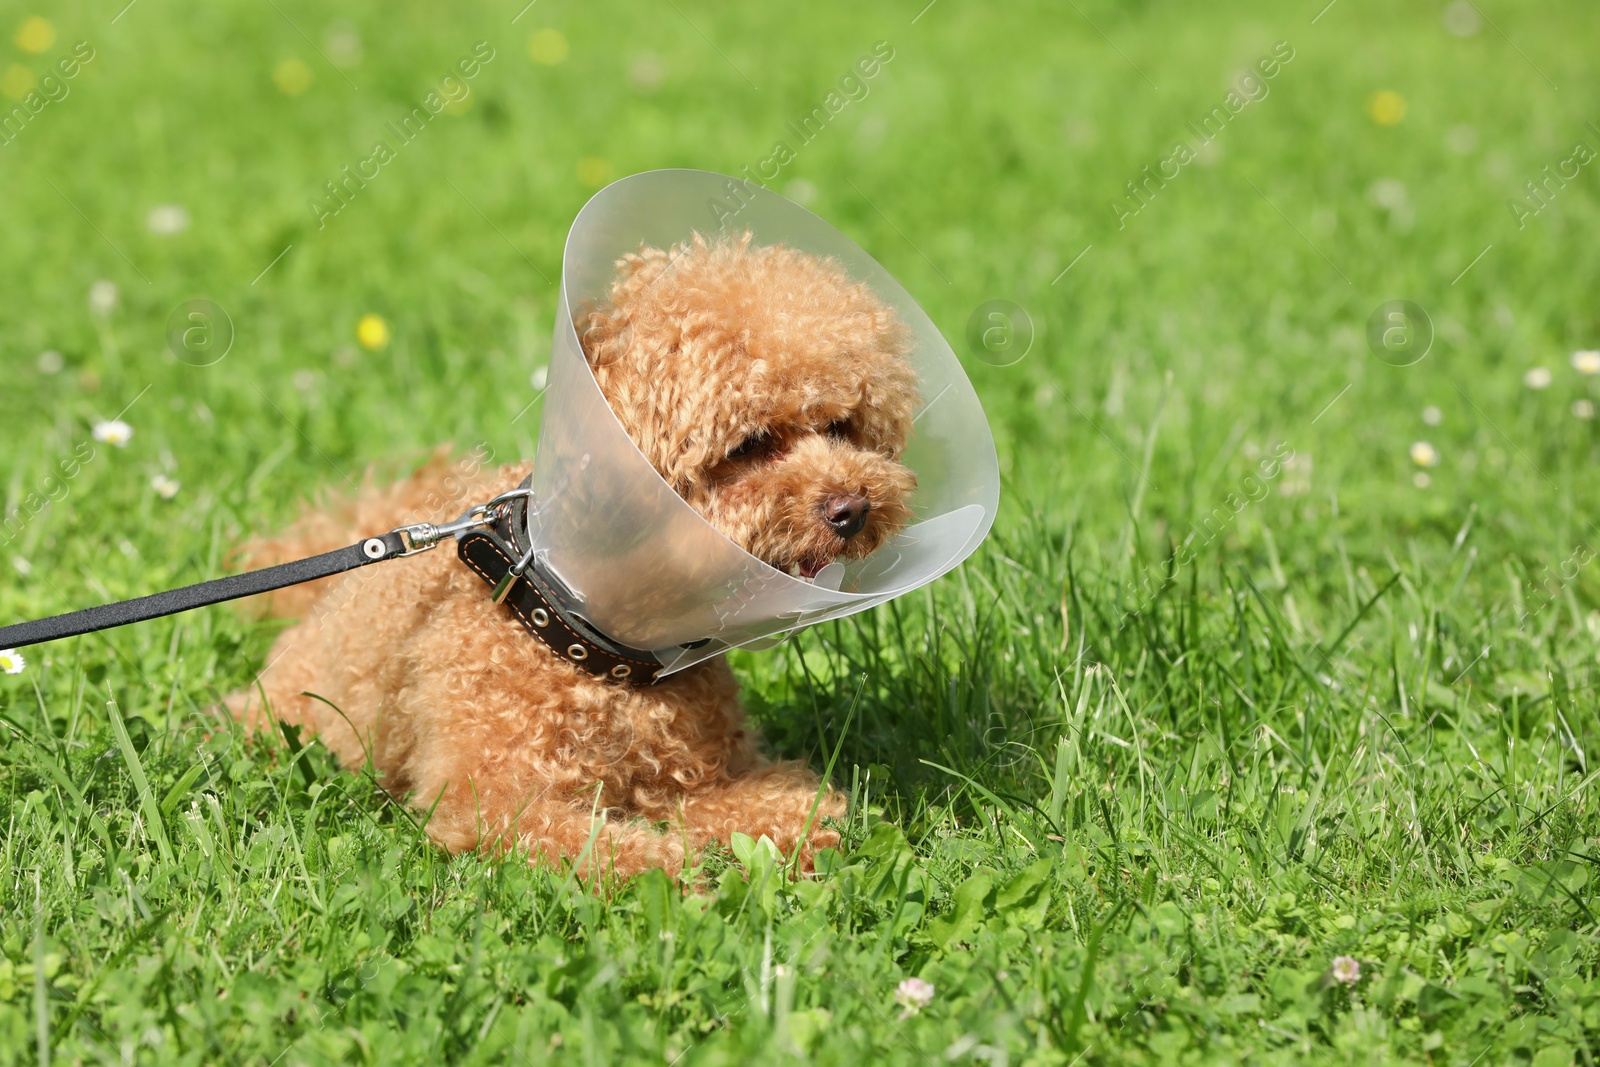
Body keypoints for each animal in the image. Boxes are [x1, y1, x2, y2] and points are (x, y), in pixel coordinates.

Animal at [230, 233, 921, 876]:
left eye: (842, 427)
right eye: (749, 445)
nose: (854, 508)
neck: (586, 630)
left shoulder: (698, 778)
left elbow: (764, 804)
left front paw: (809, 830)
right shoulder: (493, 801)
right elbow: (590, 843)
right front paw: (666, 870)